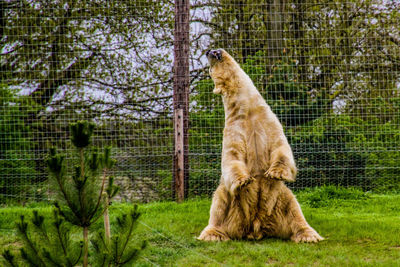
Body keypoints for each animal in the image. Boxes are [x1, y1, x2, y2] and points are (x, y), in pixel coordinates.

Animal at [198, 49, 324, 244]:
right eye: (210, 70)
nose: (210, 51)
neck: (247, 109)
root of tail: (255, 227)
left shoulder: (268, 120)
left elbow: (280, 147)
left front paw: (275, 172)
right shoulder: (234, 129)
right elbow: (232, 157)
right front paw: (244, 180)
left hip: (279, 197)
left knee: (293, 207)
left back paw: (308, 235)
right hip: (232, 202)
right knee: (219, 203)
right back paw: (213, 234)